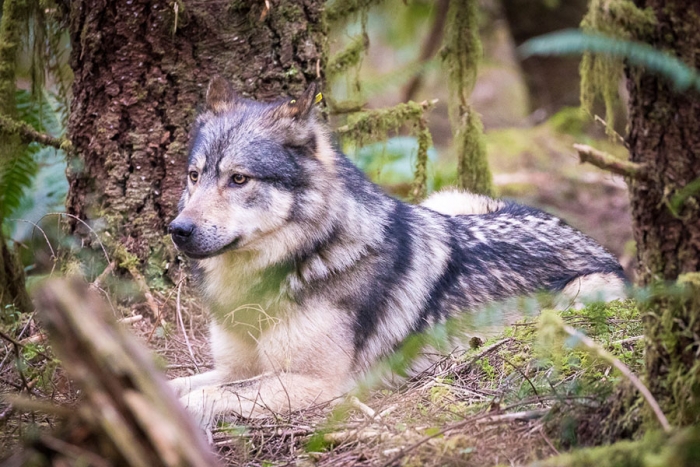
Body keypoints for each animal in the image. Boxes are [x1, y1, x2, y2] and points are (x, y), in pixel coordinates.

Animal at [167, 78, 628, 430]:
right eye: (194, 176)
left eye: (238, 179)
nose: (178, 230)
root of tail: (594, 242)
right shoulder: (237, 369)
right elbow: (179, 384)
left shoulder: (316, 383)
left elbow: (205, 395)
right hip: (447, 201)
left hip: (580, 297)